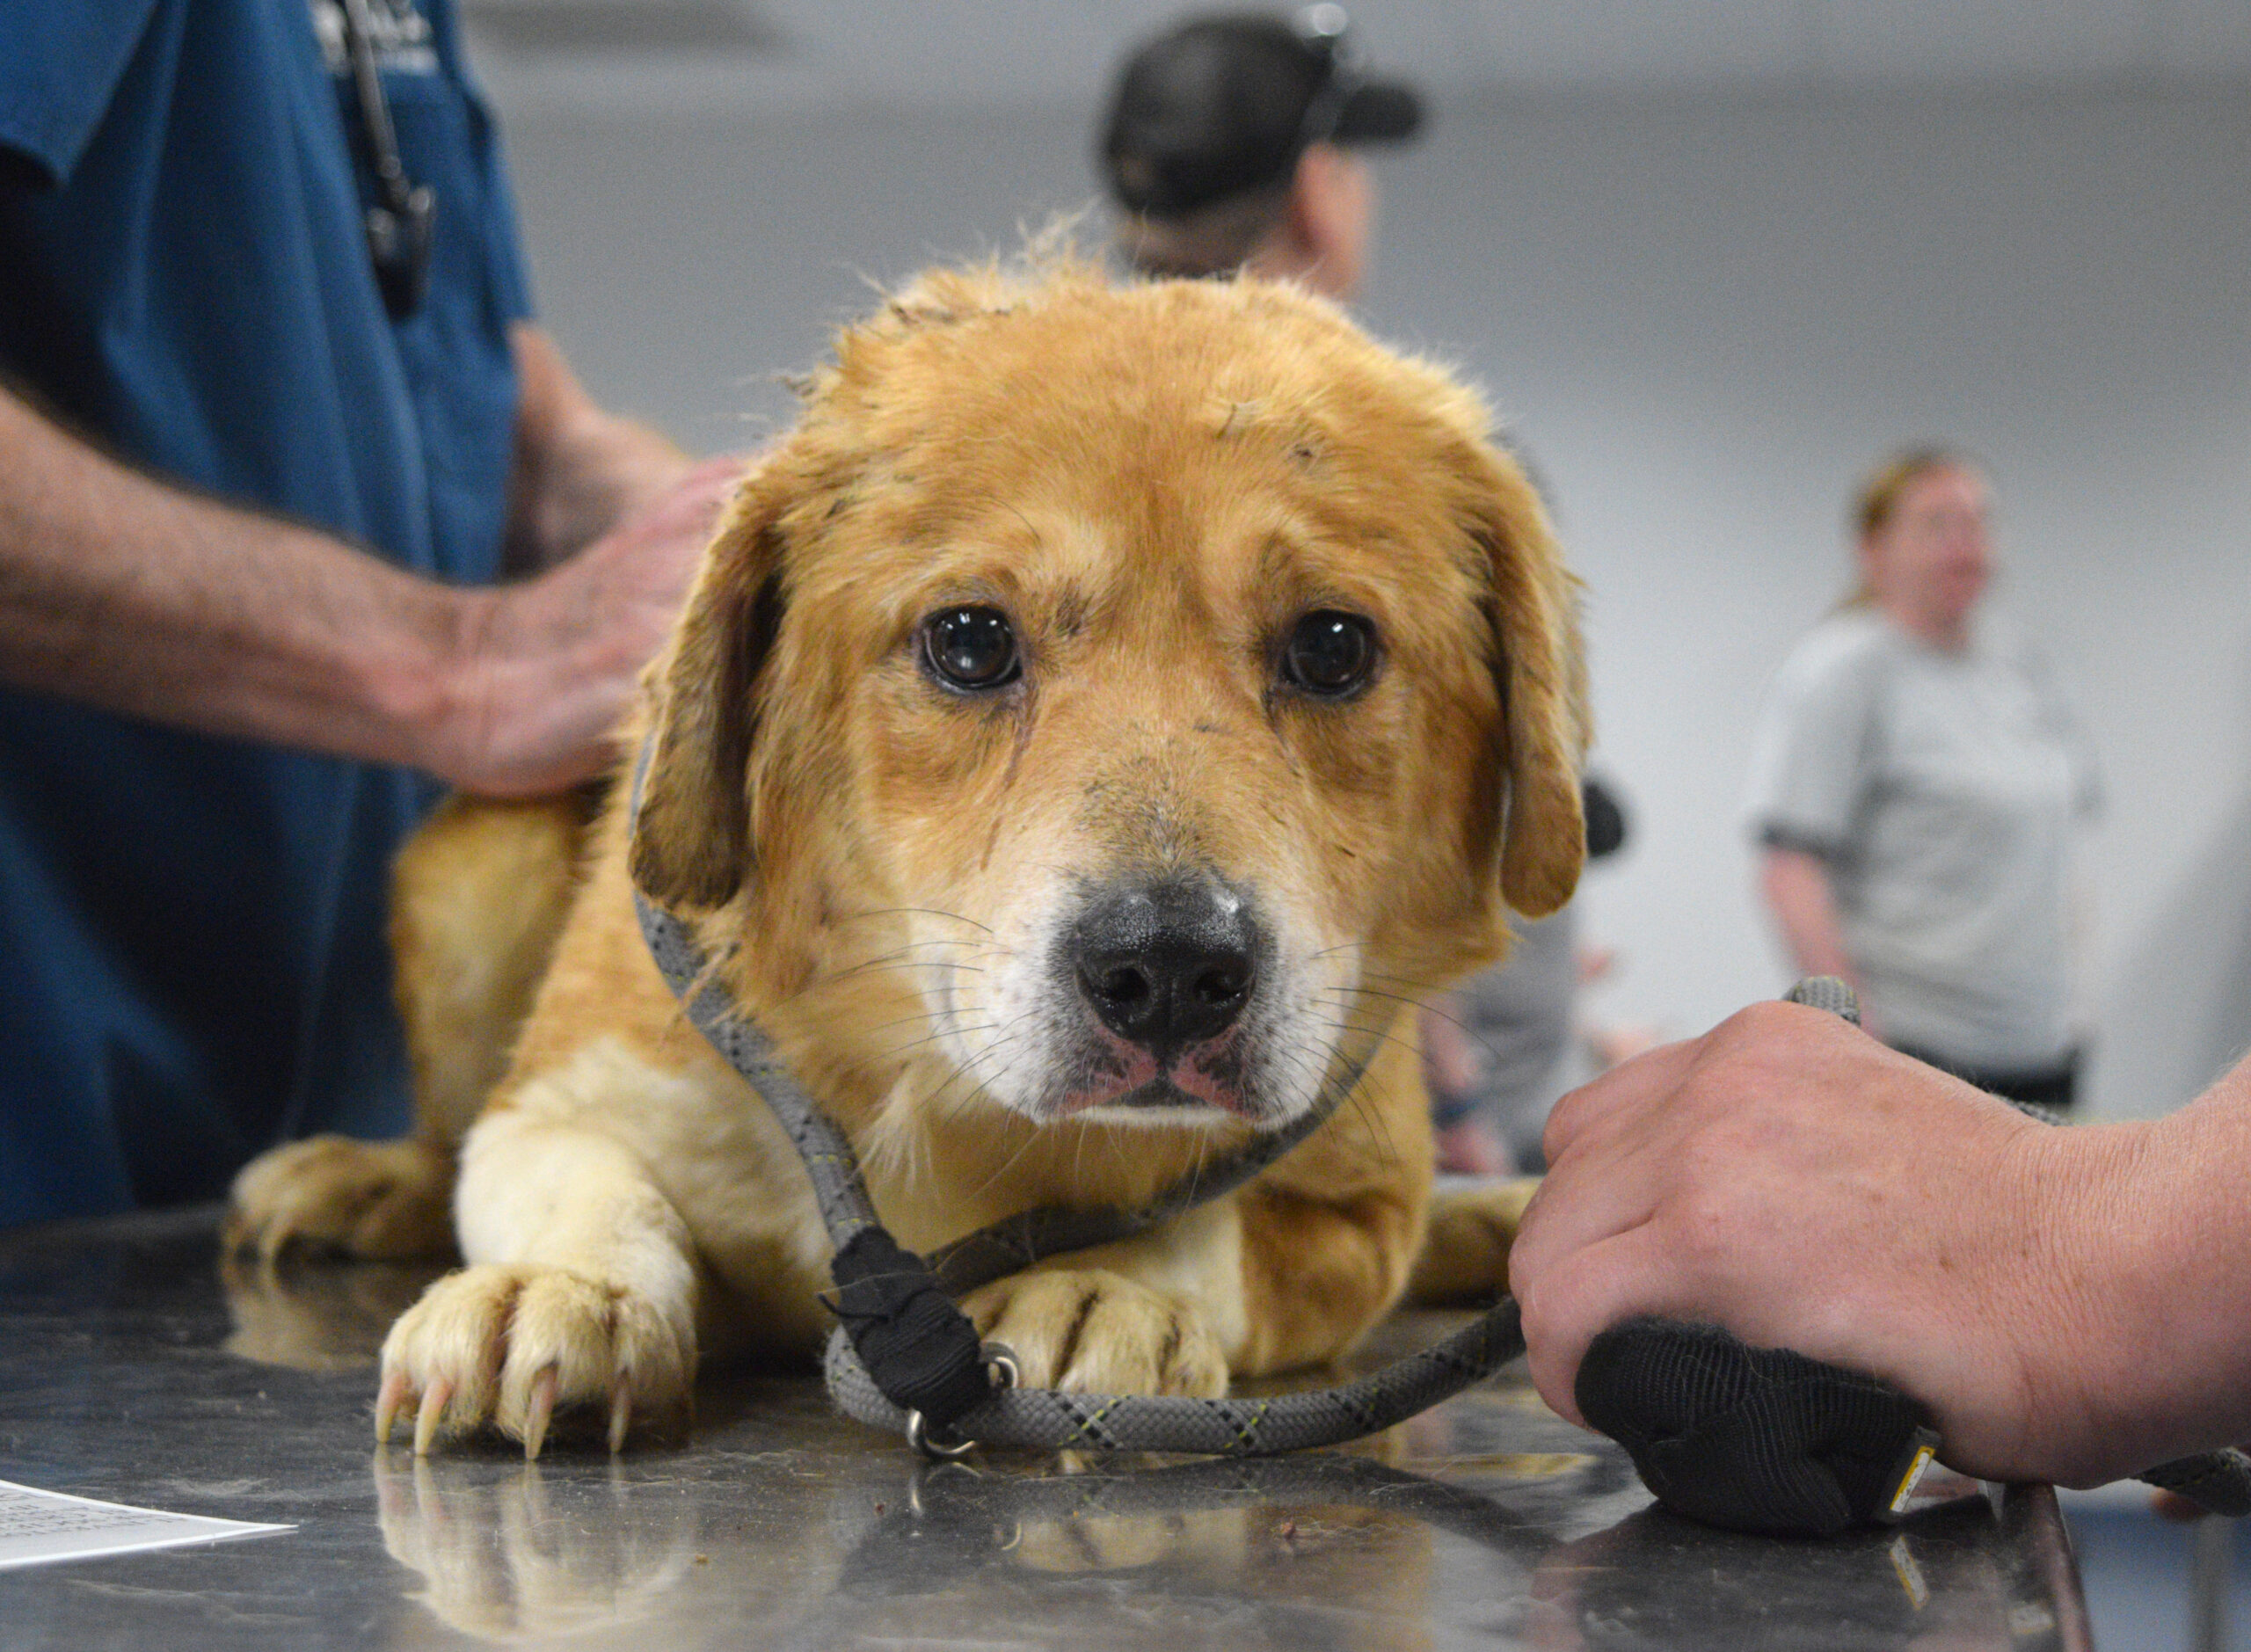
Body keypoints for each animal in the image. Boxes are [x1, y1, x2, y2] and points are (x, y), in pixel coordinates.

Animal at [226, 256, 1586, 1455]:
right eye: (970, 640)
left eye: (1333, 647)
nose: (1167, 975)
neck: (950, 1099)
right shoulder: (563, 1096)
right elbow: (579, 1180)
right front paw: (565, 1286)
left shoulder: (1355, 1205)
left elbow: (1210, 1227)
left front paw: (1106, 1280)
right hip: (474, 877)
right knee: (443, 1129)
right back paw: (369, 1178)